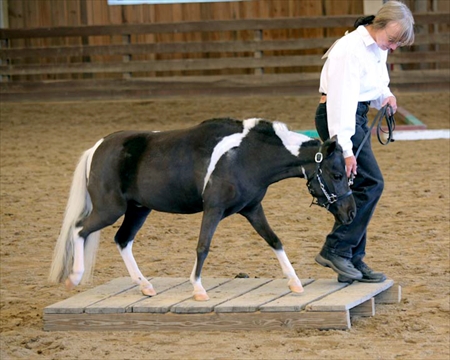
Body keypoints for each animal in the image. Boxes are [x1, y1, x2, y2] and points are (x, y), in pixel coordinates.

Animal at [49, 118, 356, 300]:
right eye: (337, 174)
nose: (351, 212)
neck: (247, 155)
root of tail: (98, 147)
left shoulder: (252, 209)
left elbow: (275, 241)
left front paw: (294, 282)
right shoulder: (214, 209)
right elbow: (203, 246)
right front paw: (198, 288)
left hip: (138, 210)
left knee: (122, 240)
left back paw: (145, 286)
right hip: (109, 209)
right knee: (79, 230)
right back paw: (74, 277)